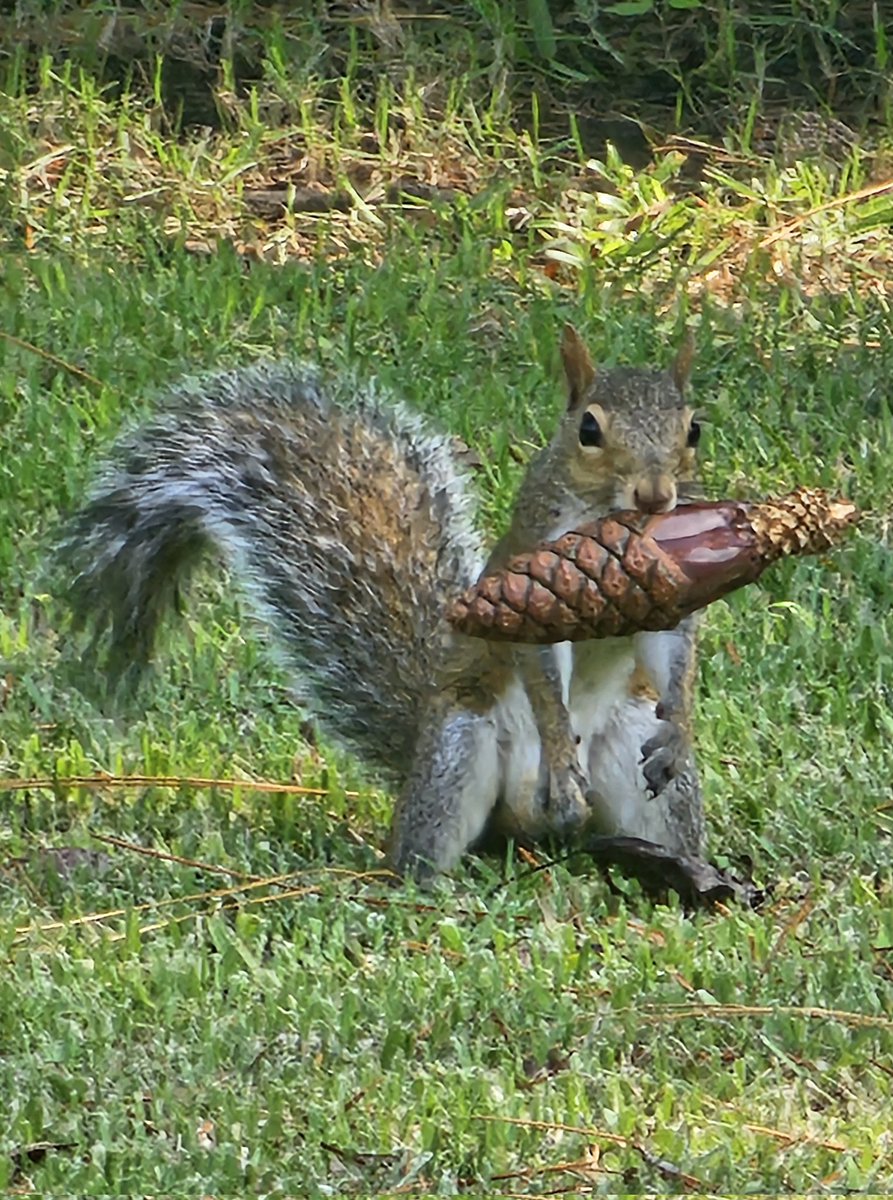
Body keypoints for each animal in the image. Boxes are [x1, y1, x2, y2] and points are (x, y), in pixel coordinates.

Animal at [60, 325, 705, 878]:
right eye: (589, 430)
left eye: (692, 429)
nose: (656, 495)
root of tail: (522, 825)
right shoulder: (534, 583)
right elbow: (546, 681)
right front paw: (562, 761)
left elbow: (670, 654)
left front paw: (679, 723)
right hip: (459, 748)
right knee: (421, 848)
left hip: (637, 750)